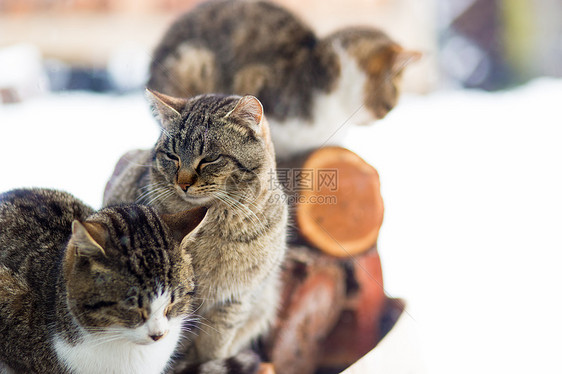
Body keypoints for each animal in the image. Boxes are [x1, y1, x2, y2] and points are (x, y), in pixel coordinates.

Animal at [104, 93, 286, 368]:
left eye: (210, 158)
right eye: (172, 156)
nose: (183, 183)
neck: (216, 227)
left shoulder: (236, 299)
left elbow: (215, 345)